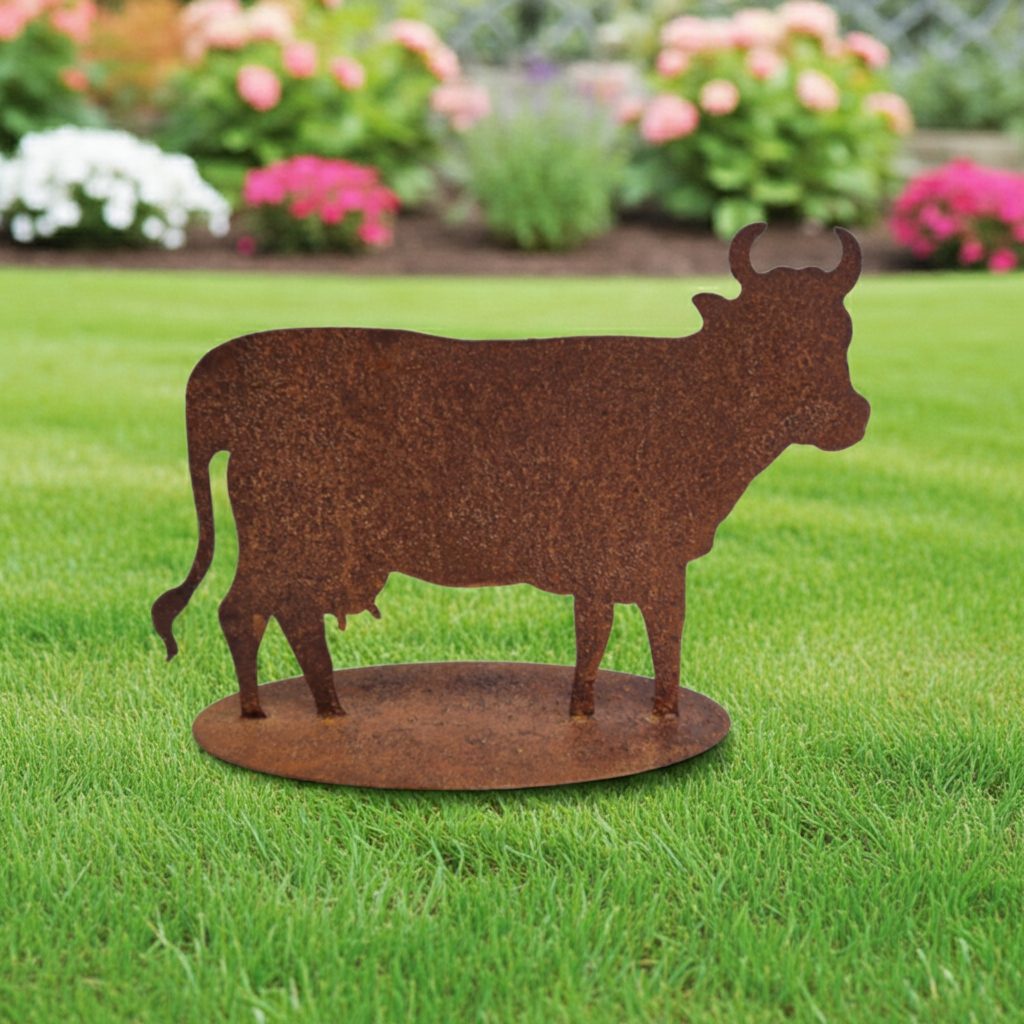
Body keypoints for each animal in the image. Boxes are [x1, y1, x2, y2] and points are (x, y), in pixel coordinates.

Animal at [152, 223, 870, 723]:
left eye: (843, 333)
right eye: (764, 340)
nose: (849, 418)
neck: (691, 404)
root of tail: (217, 381)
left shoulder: (631, 564)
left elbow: (618, 637)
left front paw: (603, 713)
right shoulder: (643, 557)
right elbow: (638, 635)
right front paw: (636, 715)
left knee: (291, 616)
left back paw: (328, 710)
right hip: (285, 536)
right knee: (242, 611)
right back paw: (261, 713)